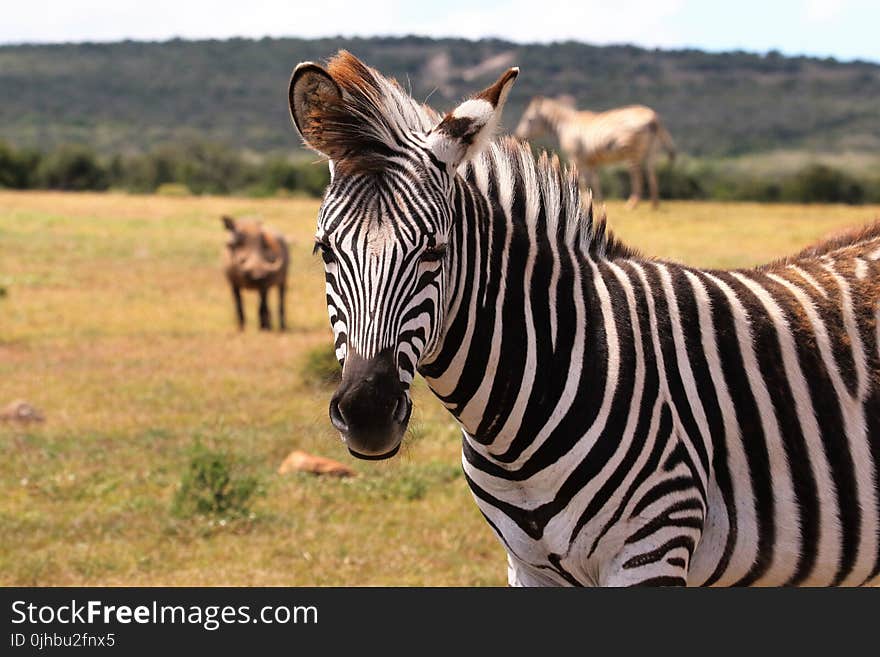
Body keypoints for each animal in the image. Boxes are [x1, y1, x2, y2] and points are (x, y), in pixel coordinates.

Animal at [512, 96, 676, 209]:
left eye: (529, 119)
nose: (517, 136)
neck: (565, 125)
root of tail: (653, 118)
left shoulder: (575, 158)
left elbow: (582, 180)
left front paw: (581, 201)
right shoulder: (591, 161)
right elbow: (595, 181)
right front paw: (597, 201)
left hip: (631, 151)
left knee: (637, 175)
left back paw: (632, 203)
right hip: (652, 151)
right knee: (651, 173)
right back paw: (654, 204)